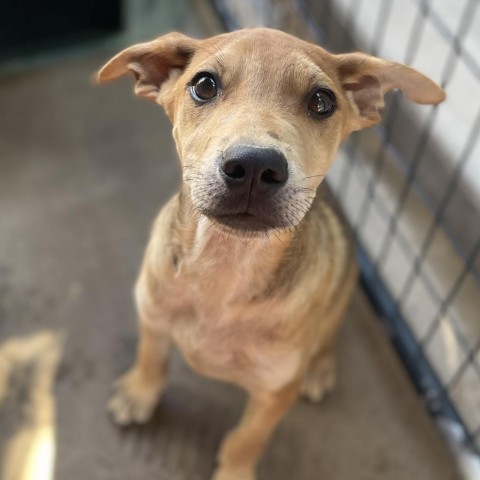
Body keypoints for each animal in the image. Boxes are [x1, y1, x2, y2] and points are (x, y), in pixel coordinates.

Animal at [96, 29, 442, 480]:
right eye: (204, 85)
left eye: (321, 101)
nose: (255, 166)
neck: (224, 271)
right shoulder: (152, 316)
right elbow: (150, 358)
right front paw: (139, 394)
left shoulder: (276, 392)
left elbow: (247, 439)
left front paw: (234, 472)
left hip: (340, 296)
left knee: (327, 337)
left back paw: (319, 369)